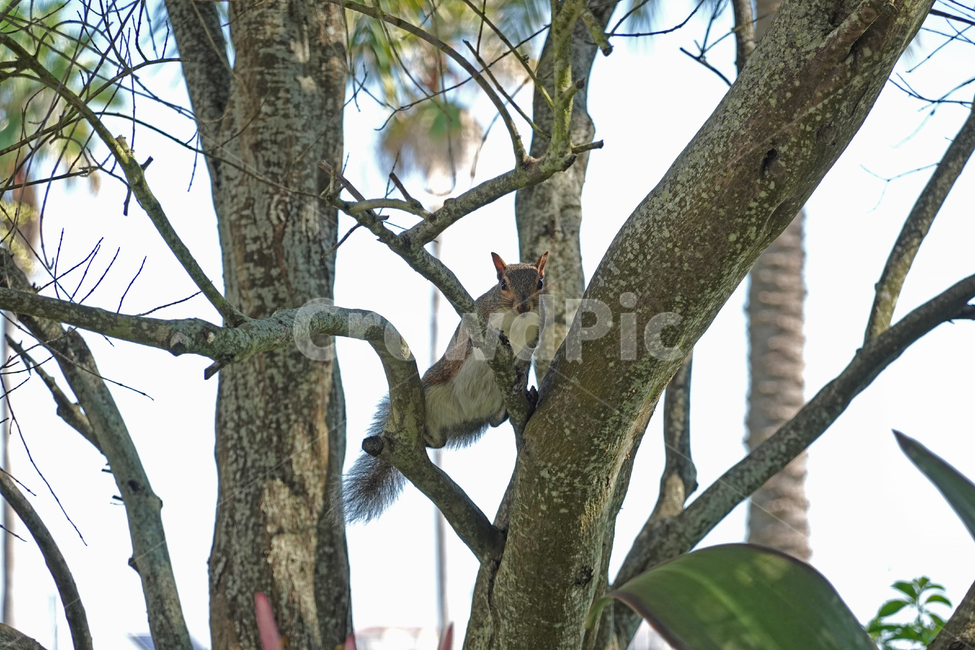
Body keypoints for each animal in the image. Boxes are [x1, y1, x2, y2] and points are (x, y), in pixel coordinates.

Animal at [343, 251, 549, 523]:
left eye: (540, 283)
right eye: (503, 284)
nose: (524, 306)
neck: (515, 318)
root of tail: (464, 417)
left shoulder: (535, 334)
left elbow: (525, 361)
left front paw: (521, 378)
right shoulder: (476, 317)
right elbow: (468, 340)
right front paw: (497, 338)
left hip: (490, 410)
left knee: (488, 424)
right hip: (430, 391)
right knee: (434, 441)